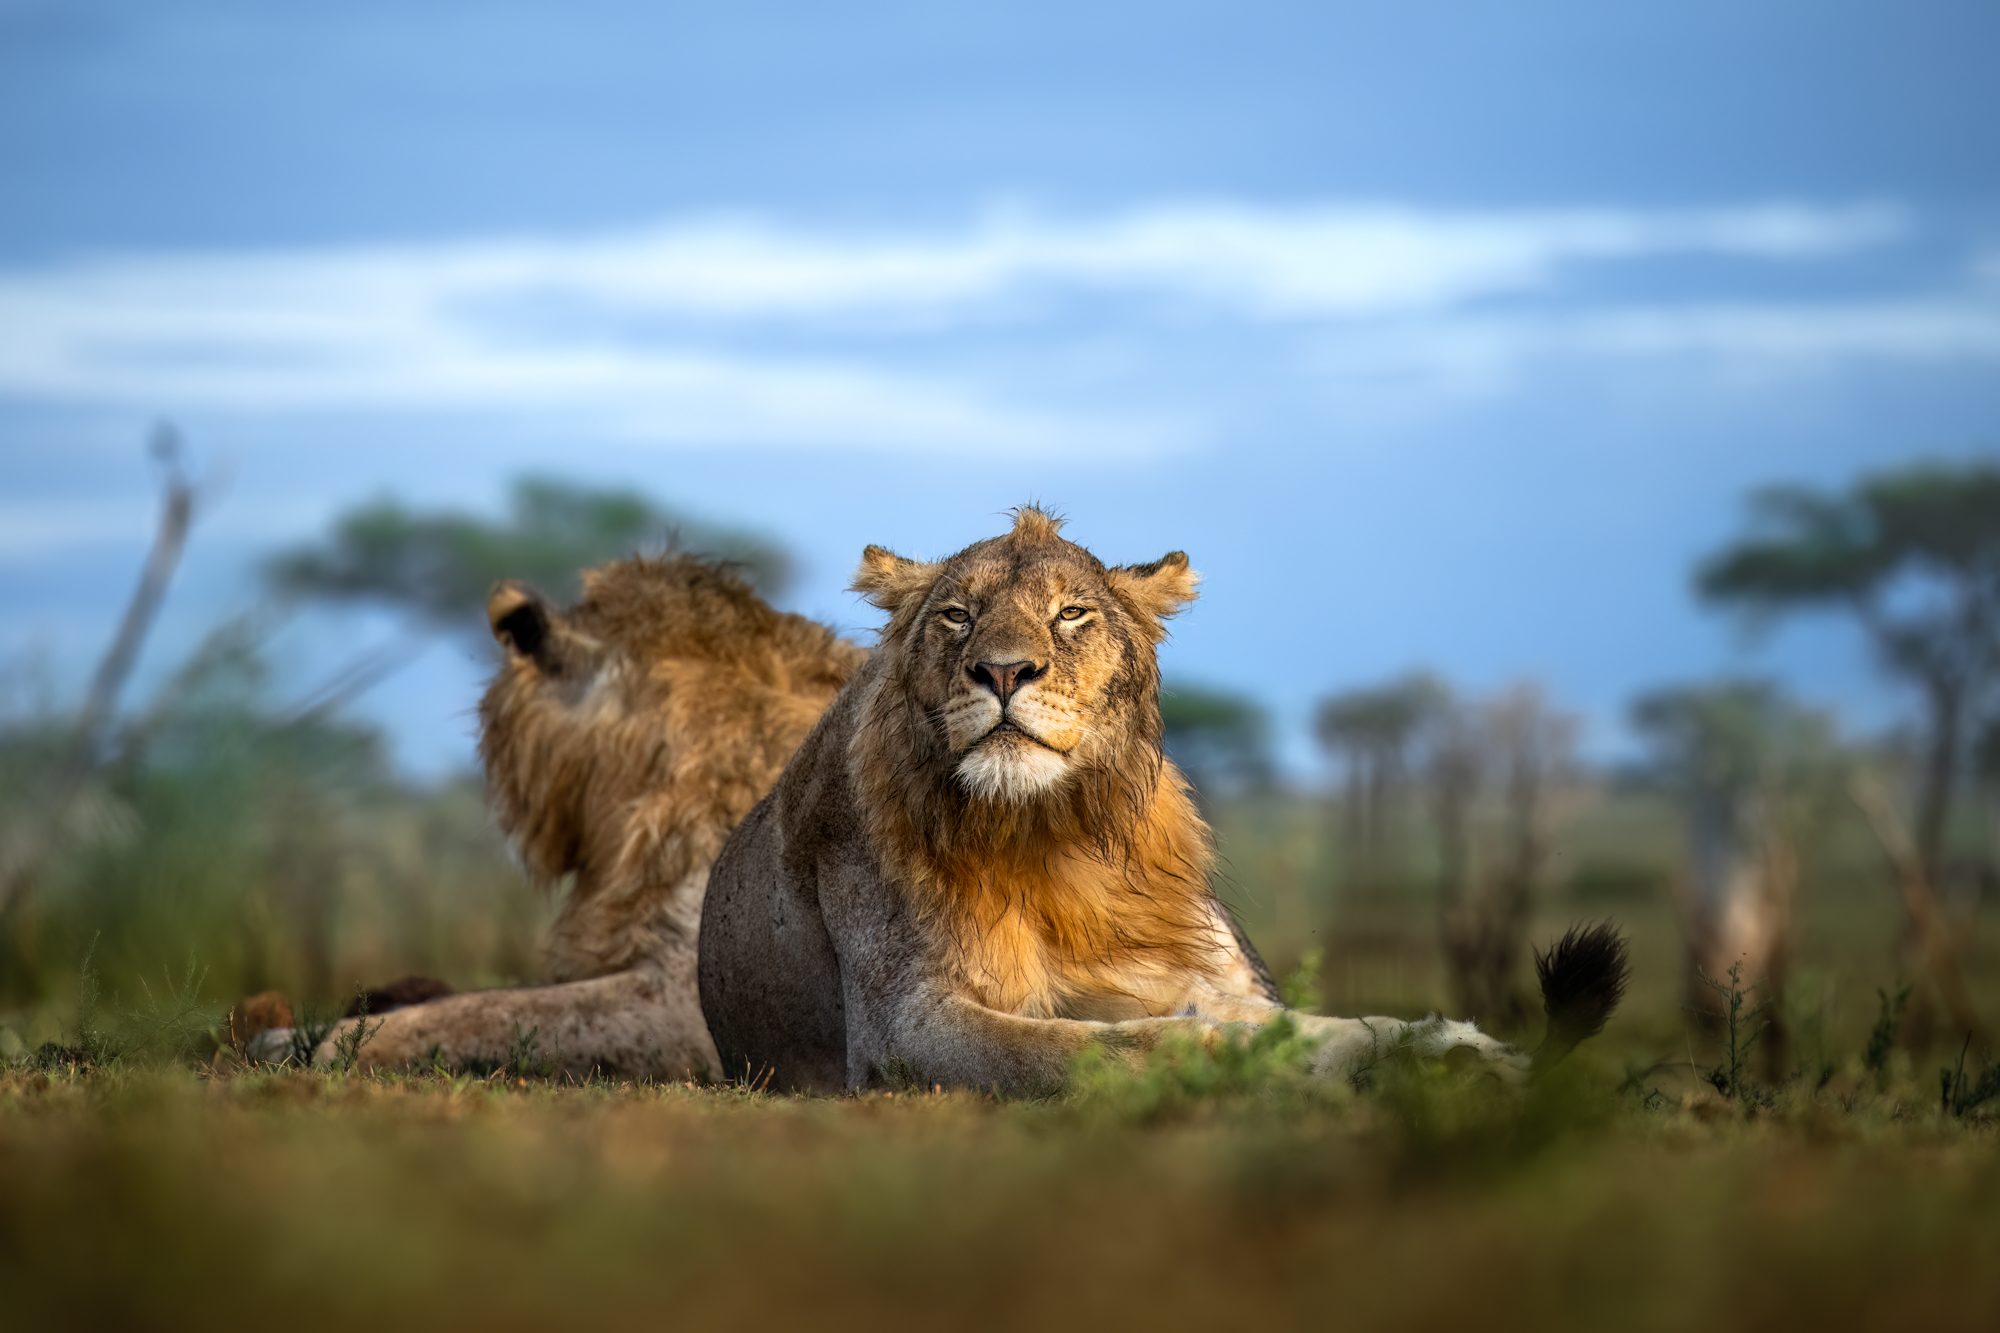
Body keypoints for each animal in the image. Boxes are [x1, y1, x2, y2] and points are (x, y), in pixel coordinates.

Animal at [699, 506, 1628, 1095]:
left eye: (1071, 614)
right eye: (957, 615)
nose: (1003, 670)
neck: (1045, 829)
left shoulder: (1163, 968)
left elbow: (1303, 1022)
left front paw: (1445, 1048)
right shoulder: (900, 1024)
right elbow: (1084, 1053)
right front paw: (1224, 1056)